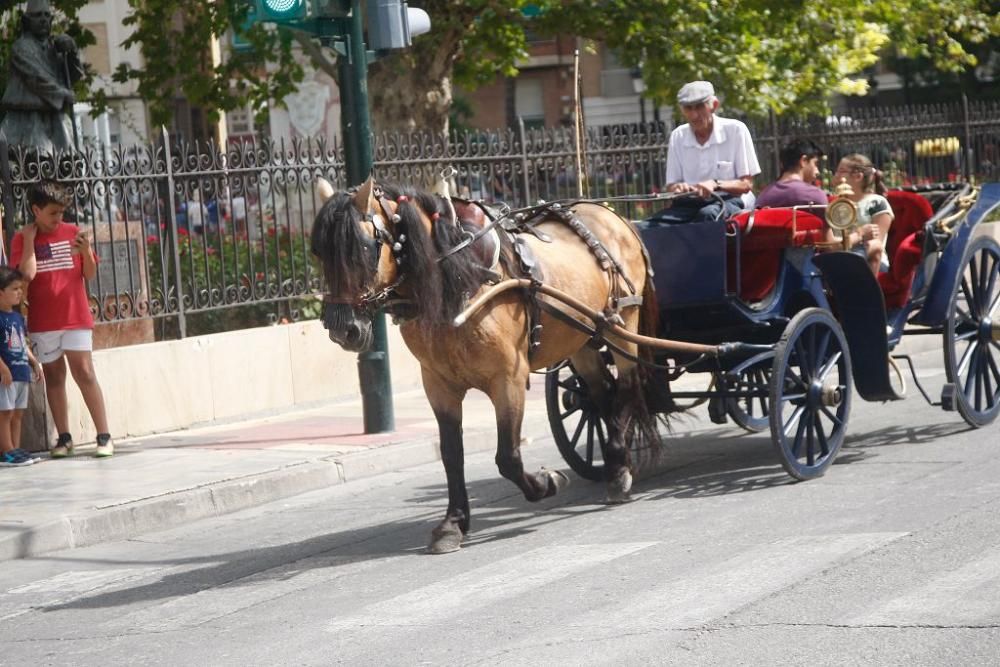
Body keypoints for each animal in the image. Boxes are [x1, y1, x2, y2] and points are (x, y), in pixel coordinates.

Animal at [308, 176, 660, 552]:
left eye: (362, 248)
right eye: (319, 252)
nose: (342, 329)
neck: (461, 279)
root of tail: (613, 216)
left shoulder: (508, 379)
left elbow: (507, 457)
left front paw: (546, 482)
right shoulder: (439, 385)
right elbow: (451, 455)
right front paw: (452, 523)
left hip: (622, 325)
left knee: (626, 387)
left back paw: (619, 472)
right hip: (581, 337)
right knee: (602, 392)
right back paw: (615, 461)